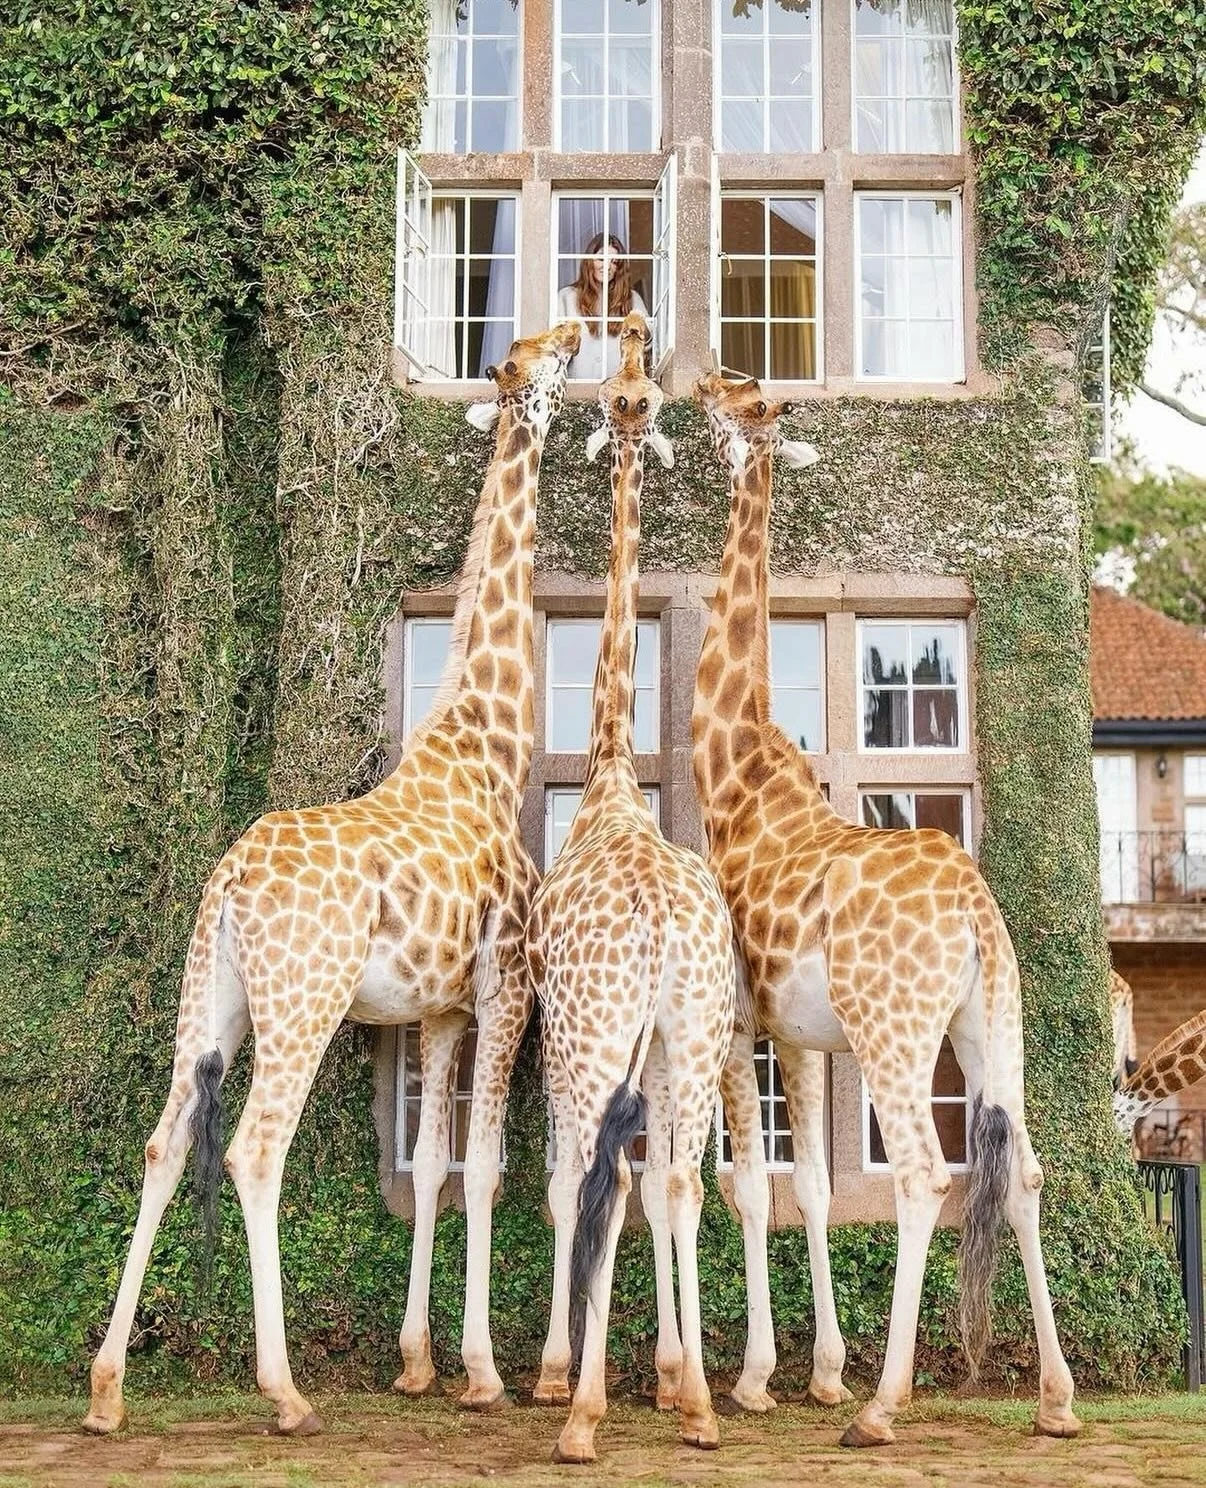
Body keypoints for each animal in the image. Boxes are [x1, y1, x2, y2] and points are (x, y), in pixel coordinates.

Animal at [82, 321, 582, 1438]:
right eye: (536, 355)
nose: (585, 330)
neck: (488, 748)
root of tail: (228, 881)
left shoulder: (439, 1009)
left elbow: (433, 1165)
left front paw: (420, 1364)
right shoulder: (506, 987)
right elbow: (485, 1168)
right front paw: (485, 1370)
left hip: (211, 996)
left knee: (164, 1145)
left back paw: (106, 1390)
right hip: (304, 996)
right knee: (251, 1150)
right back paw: (285, 1392)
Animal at [690, 371, 1081, 1448]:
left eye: (743, 396)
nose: (698, 382)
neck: (734, 772)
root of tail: (979, 915)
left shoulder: (741, 1020)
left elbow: (751, 1189)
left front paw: (758, 1380)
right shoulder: (806, 1035)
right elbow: (813, 1188)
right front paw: (812, 1373)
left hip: (899, 1029)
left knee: (924, 1176)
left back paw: (884, 1405)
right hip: (991, 1025)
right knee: (1024, 1174)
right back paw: (1056, 1399)